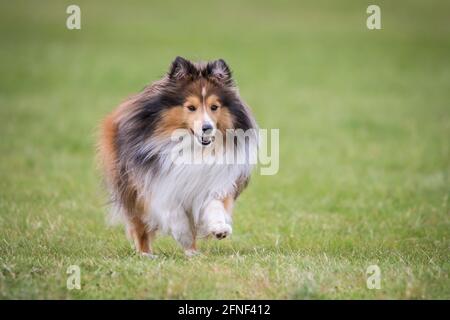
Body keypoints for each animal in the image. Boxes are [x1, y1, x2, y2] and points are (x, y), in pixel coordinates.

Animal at [97, 57, 256, 258]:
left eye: (214, 107)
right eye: (191, 107)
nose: (207, 128)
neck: (193, 148)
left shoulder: (211, 181)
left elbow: (214, 205)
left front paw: (220, 228)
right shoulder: (157, 184)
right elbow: (173, 213)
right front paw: (183, 234)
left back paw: (192, 252)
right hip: (129, 188)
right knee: (139, 226)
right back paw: (146, 254)